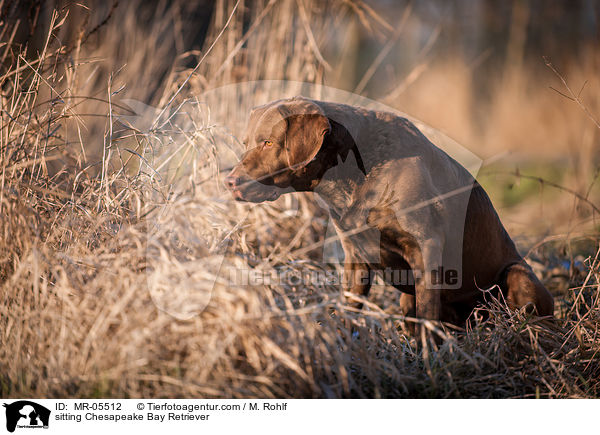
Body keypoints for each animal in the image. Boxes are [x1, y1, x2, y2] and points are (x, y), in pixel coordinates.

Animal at [224, 97, 552, 326]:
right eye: (246, 143)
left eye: (268, 143)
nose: (229, 182)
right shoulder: (355, 259)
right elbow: (348, 311)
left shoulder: (426, 248)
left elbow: (428, 320)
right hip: (407, 299)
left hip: (517, 277)